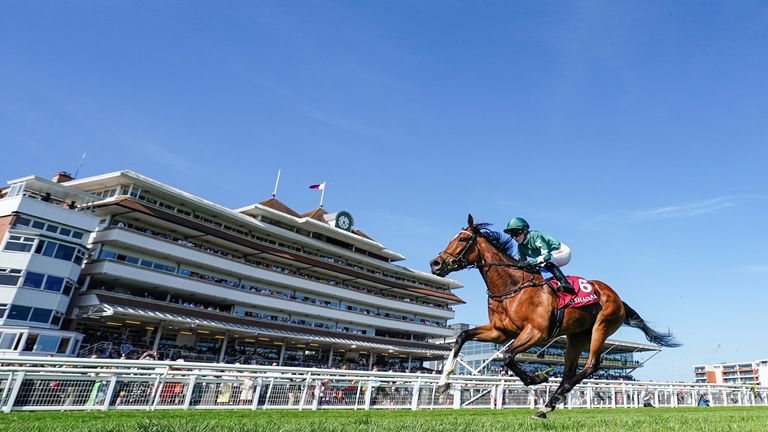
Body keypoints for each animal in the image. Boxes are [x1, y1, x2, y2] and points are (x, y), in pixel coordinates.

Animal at [428, 215, 680, 418]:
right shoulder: (500, 332)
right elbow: (462, 336)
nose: (435, 263)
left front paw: (537, 377)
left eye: (462, 240)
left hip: (601, 327)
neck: (511, 286)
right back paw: (547, 405)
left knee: (591, 365)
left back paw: (553, 400)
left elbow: (508, 356)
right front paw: (443, 384)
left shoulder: (537, 332)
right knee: (570, 371)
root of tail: (617, 297)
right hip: (576, 337)